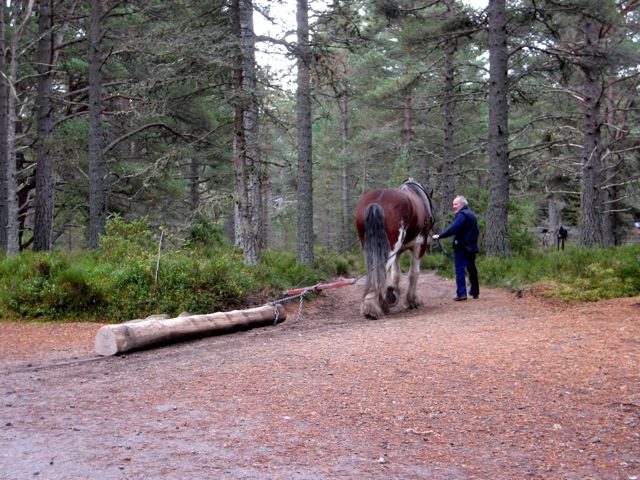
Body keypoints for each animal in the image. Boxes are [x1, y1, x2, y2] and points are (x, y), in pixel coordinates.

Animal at [355, 178, 435, 319]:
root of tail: (376, 202)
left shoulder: (399, 250)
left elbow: (395, 274)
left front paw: (393, 292)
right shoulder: (420, 244)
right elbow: (414, 272)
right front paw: (412, 300)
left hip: (371, 249)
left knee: (376, 271)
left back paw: (375, 304)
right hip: (390, 248)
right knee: (380, 271)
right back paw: (373, 306)